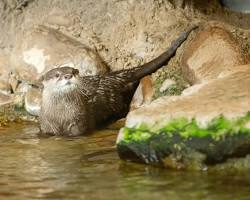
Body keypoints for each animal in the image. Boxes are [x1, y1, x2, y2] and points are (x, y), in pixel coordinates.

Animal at [38, 26, 197, 136]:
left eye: (74, 71)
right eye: (57, 74)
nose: (68, 76)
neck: (60, 117)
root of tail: (109, 77)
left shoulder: (79, 123)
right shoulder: (46, 126)